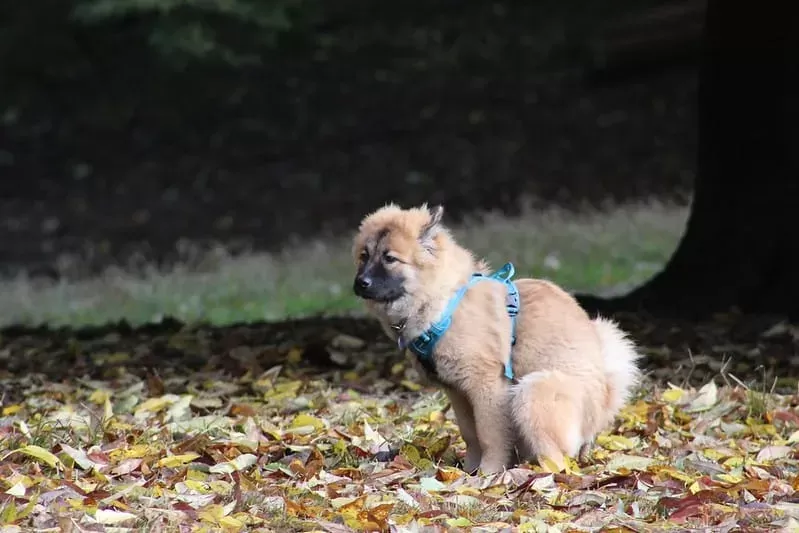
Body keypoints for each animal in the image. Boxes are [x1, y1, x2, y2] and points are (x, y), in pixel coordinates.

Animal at [354, 203, 640, 474]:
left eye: (390, 258)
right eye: (364, 256)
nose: (360, 283)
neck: (443, 302)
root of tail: (604, 404)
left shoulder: (487, 386)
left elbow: (489, 435)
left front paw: (488, 473)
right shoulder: (458, 392)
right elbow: (470, 435)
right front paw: (468, 471)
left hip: (533, 390)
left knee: (558, 459)